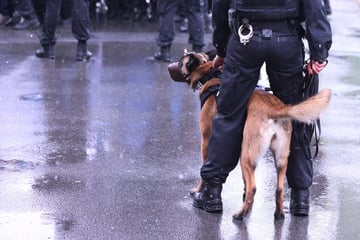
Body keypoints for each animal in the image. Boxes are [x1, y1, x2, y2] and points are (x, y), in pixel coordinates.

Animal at [169, 52, 332, 219]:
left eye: (181, 61)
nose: (169, 66)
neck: (208, 74)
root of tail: (276, 109)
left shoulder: (206, 142)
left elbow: (203, 170)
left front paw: (199, 191)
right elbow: (244, 180)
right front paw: (243, 193)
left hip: (246, 155)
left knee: (254, 187)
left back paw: (240, 214)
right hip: (280, 159)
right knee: (279, 188)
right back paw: (279, 213)